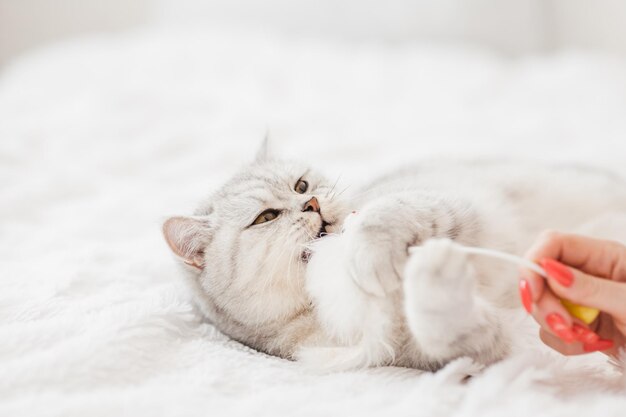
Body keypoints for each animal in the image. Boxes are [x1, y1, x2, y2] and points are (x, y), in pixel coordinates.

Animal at [162, 141, 624, 368]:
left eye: (301, 185)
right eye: (266, 217)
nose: (312, 204)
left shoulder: (443, 203)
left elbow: (381, 217)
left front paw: (371, 257)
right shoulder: (433, 352)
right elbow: (449, 329)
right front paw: (434, 279)